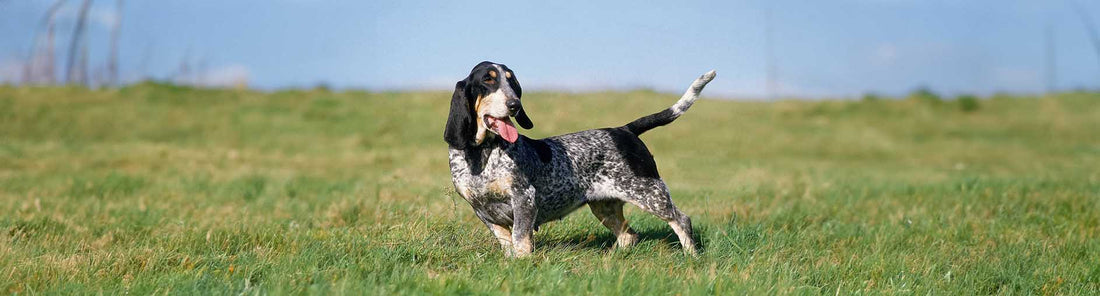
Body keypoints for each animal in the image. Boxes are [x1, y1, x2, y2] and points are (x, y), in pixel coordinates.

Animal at [442, 61, 717, 256]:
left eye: (513, 83)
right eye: (488, 80)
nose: (514, 105)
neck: (482, 154)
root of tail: (625, 130)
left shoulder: (524, 199)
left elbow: (521, 240)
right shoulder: (483, 211)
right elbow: (507, 243)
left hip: (650, 194)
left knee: (681, 220)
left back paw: (692, 257)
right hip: (604, 205)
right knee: (628, 235)